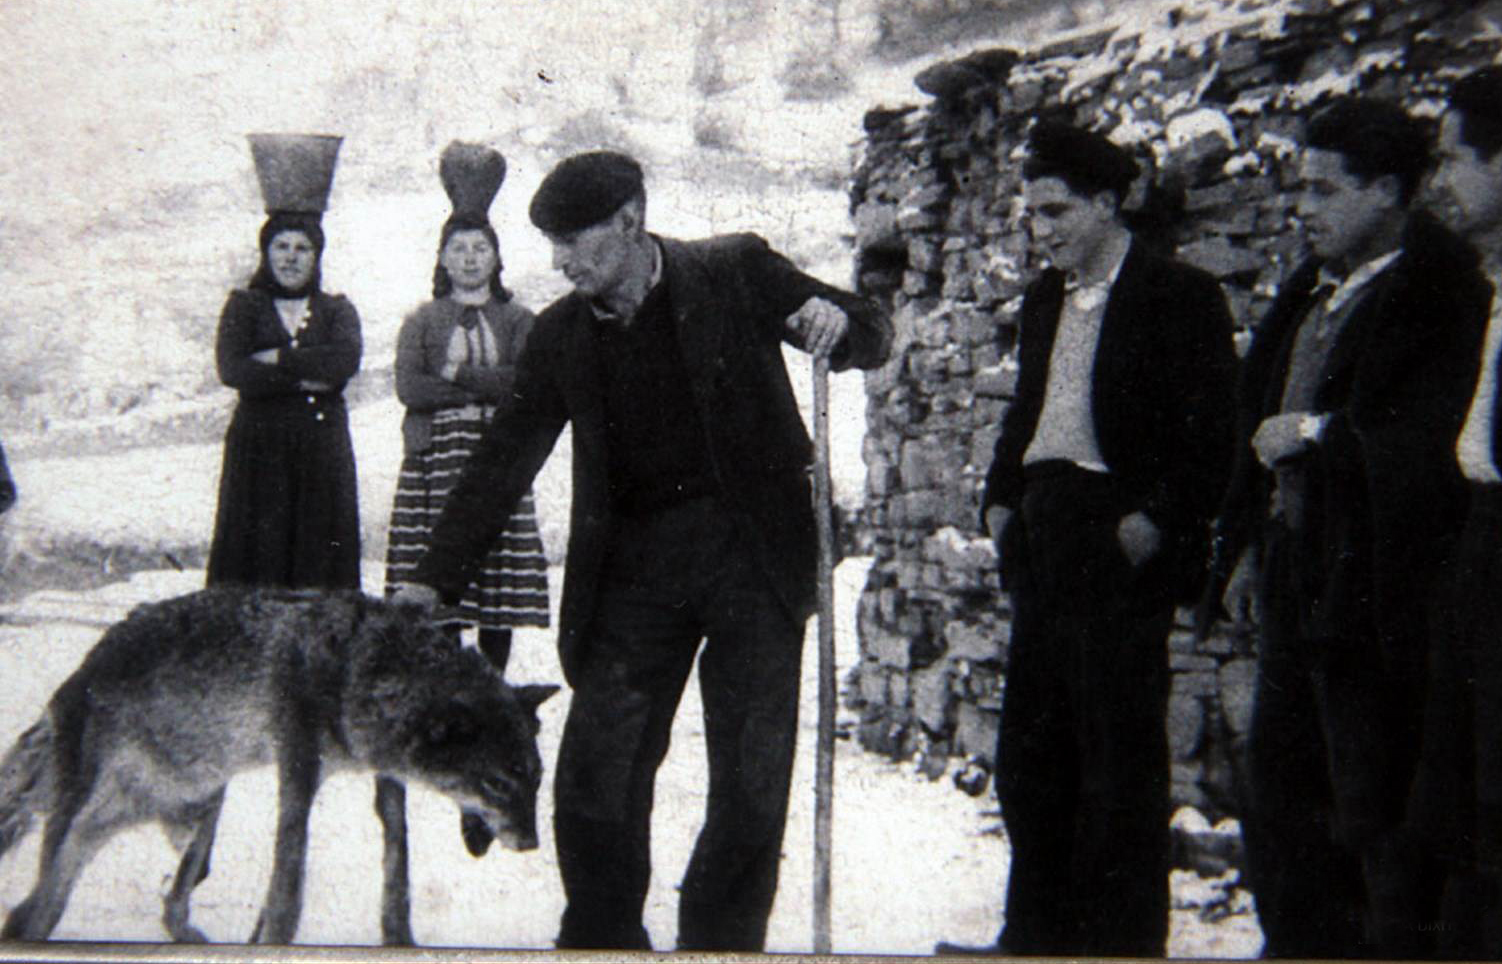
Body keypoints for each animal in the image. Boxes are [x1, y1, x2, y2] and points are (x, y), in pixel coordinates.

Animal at [0, 582, 558, 942]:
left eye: (534, 782)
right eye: (497, 784)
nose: (531, 844)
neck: (357, 664)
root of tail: (77, 675)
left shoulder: (384, 777)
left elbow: (397, 865)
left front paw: (398, 937)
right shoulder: (298, 764)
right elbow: (289, 875)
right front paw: (276, 937)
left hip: (197, 807)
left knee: (159, 902)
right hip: (105, 814)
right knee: (39, 903)